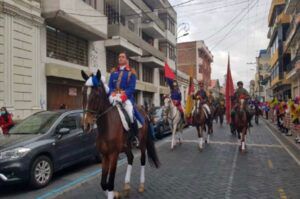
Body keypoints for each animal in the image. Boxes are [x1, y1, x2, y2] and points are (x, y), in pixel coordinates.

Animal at [79, 70, 159, 199]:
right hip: (126, 146)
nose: (85, 125)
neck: (106, 127)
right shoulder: (105, 155)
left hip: (141, 143)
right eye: (83, 92)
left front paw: (113, 193)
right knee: (131, 158)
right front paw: (115, 193)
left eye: (96, 95)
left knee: (142, 160)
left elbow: (110, 183)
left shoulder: (114, 155)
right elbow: (103, 183)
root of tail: (144, 111)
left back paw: (141, 185)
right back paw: (126, 186)